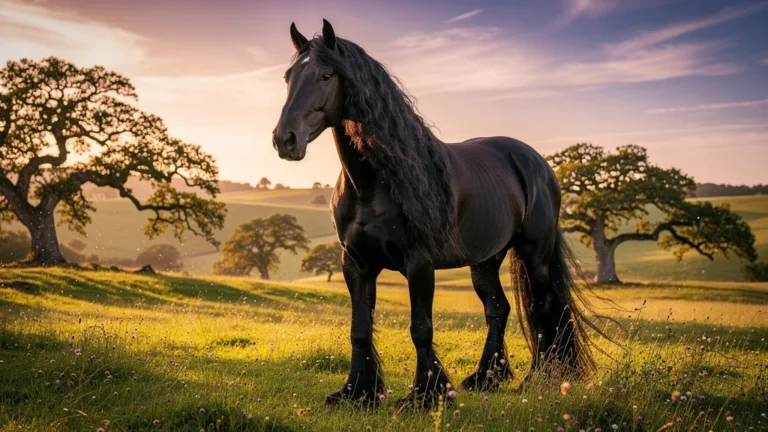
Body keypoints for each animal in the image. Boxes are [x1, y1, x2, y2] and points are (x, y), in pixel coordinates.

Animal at [272, 19, 606, 410]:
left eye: (326, 75)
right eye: (288, 77)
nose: (285, 139)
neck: (374, 184)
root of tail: (535, 161)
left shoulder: (419, 263)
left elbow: (421, 329)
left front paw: (426, 395)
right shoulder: (355, 263)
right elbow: (360, 331)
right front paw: (357, 393)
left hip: (533, 254)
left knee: (542, 310)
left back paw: (537, 380)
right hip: (485, 260)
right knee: (498, 309)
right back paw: (485, 378)